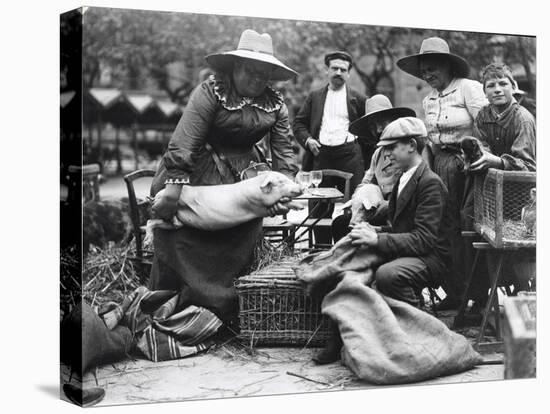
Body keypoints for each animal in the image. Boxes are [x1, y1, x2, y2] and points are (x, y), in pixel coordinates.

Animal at [149, 170, 306, 231]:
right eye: (282, 182)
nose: (302, 187)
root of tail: (157, 195)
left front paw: (300, 206)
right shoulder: (258, 206)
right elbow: (284, 203)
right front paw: (301, 207)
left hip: (175, 222)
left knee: (155, 223)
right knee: (151, 221)